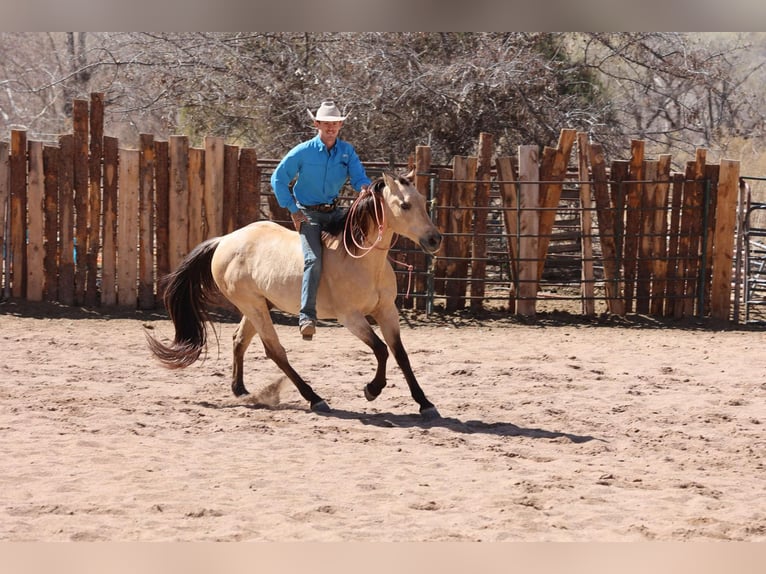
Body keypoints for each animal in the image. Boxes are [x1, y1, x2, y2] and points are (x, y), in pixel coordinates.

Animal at [146, 171, 443, 419]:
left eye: (422, 200)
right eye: (404, 205)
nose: (434, 239)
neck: (360, 258)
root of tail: (224, 241)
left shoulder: (387, 311)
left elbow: (400, 354)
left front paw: (425, 403)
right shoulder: (350, 317)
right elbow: (381, 350)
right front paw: (372, 389)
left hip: (257, 305)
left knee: (239, 340)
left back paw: (240, 390)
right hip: (253, 306)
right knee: (275, 351)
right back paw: (315, 398)